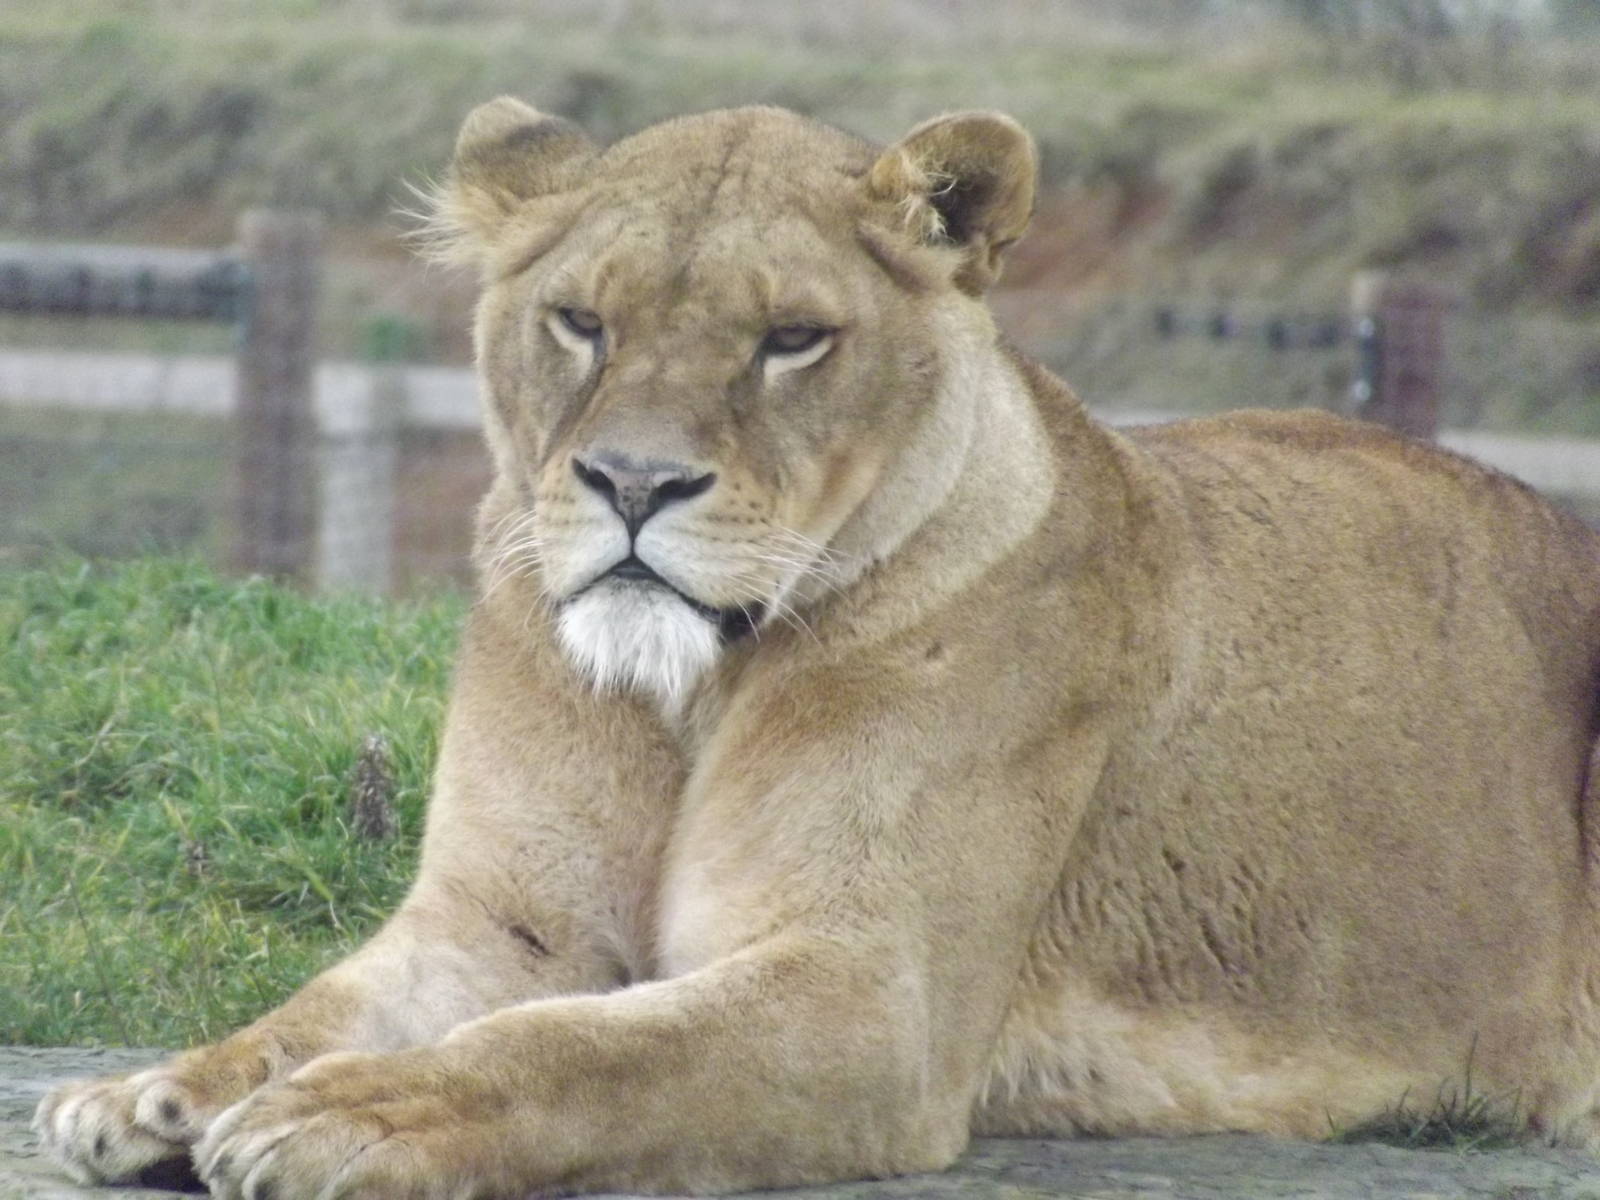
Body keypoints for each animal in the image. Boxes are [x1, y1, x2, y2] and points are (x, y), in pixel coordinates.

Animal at [34, 98, 1600, 1198]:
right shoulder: (506, 923)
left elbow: (580, 1049)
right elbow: (323, 1004)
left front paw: (358, 1110)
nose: (634, 485)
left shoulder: (869, 997)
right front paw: (155, 1095)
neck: (684, 694)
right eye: (580, 321)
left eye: (792, 339)